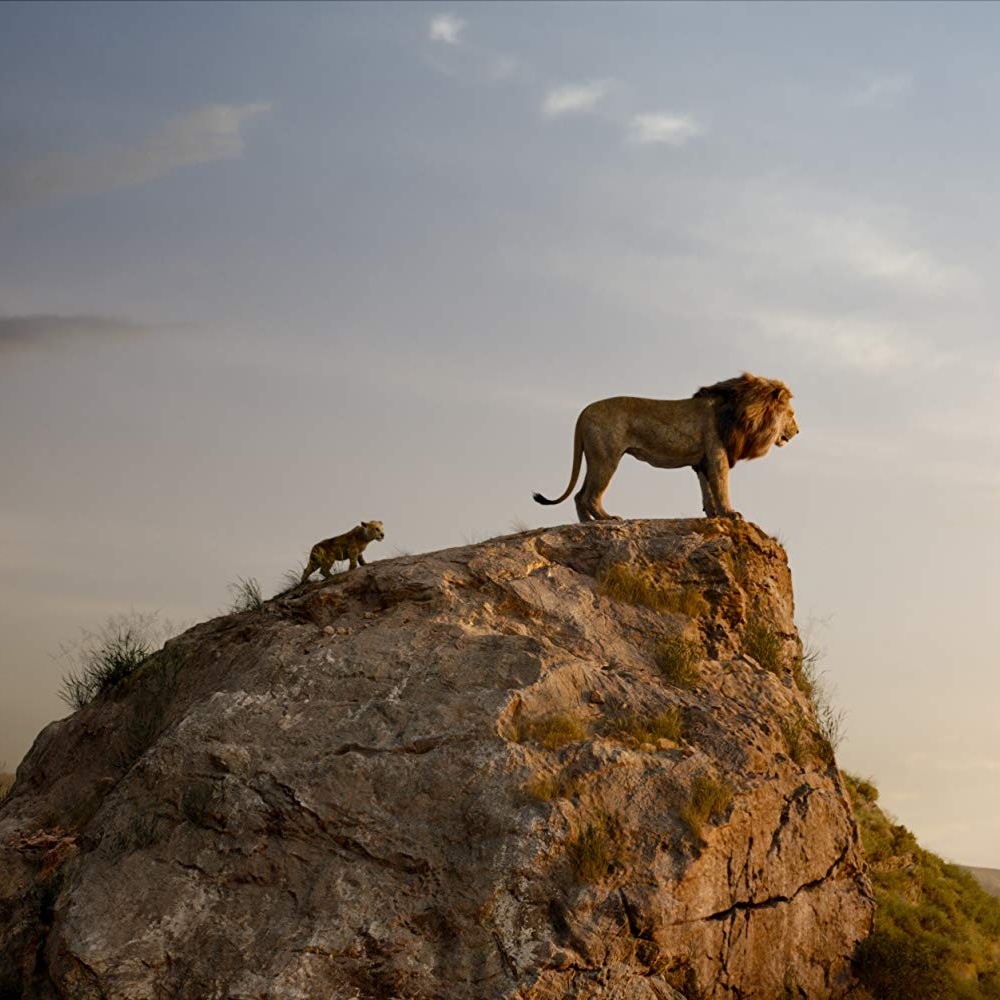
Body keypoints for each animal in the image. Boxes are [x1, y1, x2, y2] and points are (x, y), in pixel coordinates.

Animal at [533, 373, 798, 521]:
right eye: (791, 414)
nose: (797, 431)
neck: (741, 411)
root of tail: (583, 412)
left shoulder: (703, 461)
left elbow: (707, 490)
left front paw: (713, 515)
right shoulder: (717, 455)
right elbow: (721, 488)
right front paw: (730, 514)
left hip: (594, 457)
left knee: (579, 495)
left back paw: (588, 524)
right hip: (607, 457)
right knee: (590, 496)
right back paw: (607, 519)